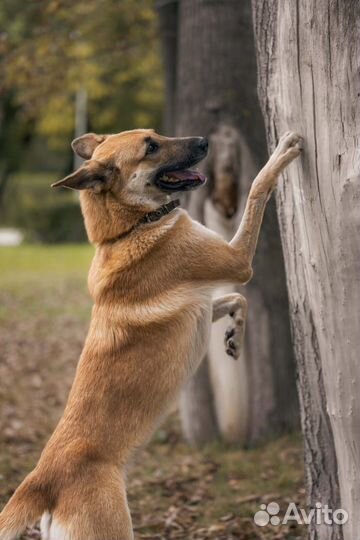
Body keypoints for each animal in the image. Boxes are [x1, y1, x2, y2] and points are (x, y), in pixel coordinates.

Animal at [0, 129, 304, 536]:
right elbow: (257, 187)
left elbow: (236, 300)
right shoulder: (237, 260)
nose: (204, 141)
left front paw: (234, 338)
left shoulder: (203, 302)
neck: (130, 229)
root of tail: (43, 480)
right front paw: (281, 154)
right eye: (151, 147)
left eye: (156, 135)